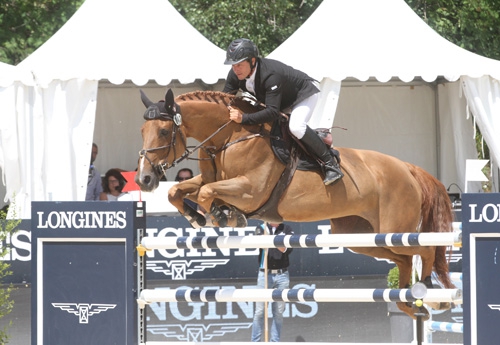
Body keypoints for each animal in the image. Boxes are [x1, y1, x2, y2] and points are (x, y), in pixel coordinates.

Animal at [135, 88, 456, 318]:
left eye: (163, 131)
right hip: (360, 236)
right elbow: (179, 191)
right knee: (403, 260)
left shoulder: (251, 190)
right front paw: (198, 218)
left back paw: (431, 295)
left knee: (425, 249)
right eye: (142, 131)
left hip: (395, 229)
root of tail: (408, 168)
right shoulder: (213, 180)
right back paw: (410, 304)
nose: (144, 179)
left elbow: (207, 193)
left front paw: (224, 215)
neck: (231, 135)